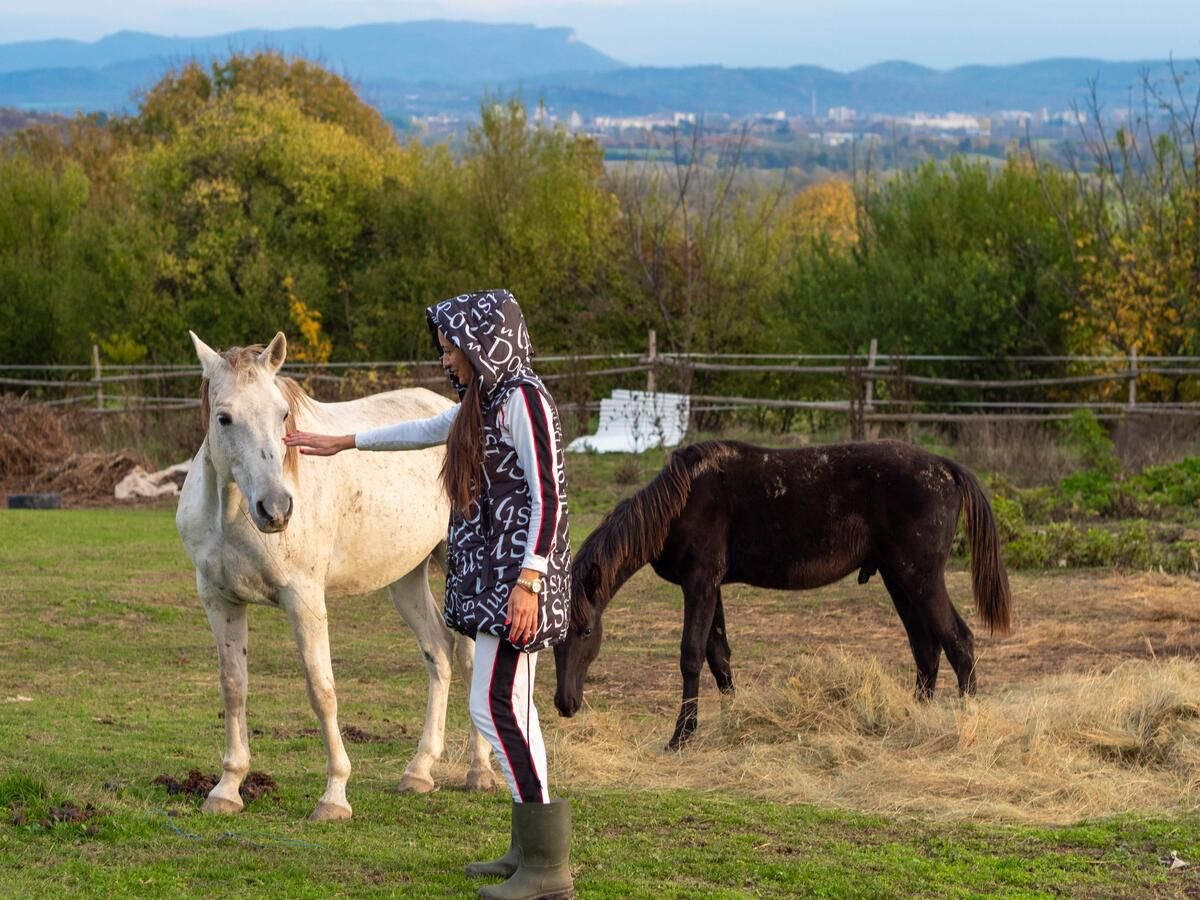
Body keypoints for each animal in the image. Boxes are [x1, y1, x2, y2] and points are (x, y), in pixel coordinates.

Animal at [175, 333, 496, 825]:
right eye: (224, 417)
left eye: (282, 415)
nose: (276, 509)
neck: (231, 514)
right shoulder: (219, 600)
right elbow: (234, 687)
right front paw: (227, 788)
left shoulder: (304, 599)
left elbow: (321, 690)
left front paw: (334, 796)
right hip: (405, 578)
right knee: (439, 654)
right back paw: (419, 771)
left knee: (468, 661)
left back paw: (479, 772)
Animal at [554, 441, 1012, 748]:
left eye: (586, 630)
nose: (565, 704)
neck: (681, 501)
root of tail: (947, 468)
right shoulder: (711, 587)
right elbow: (718, 658)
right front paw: (733, 724)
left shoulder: (699, 583)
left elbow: (691, 656)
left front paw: (681, 737)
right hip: (899, 580)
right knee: (926, 649)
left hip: (921, 578)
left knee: (959, 643)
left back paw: (966, 727)